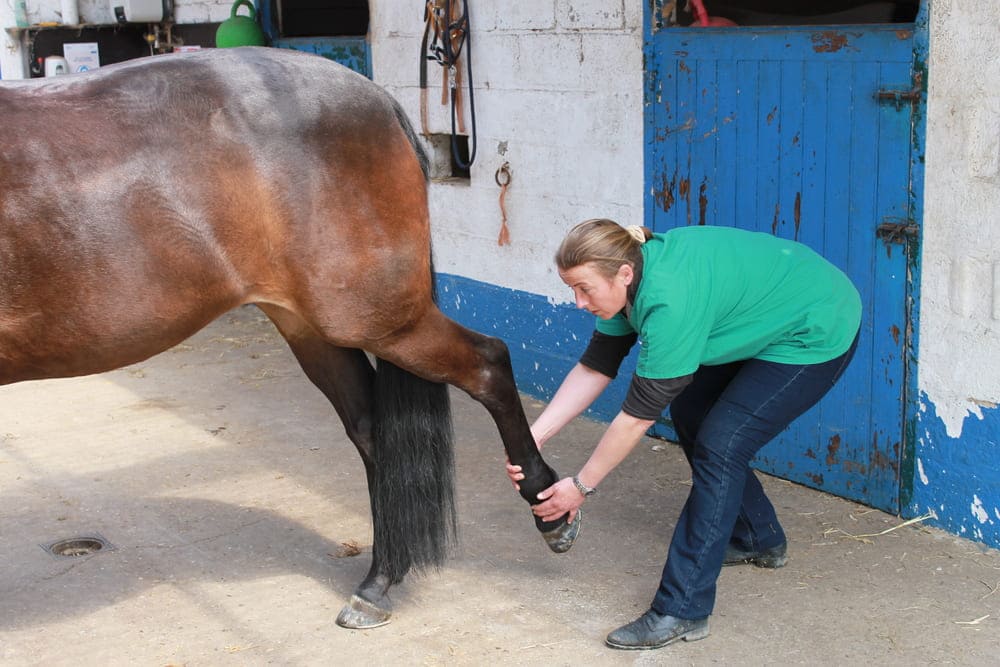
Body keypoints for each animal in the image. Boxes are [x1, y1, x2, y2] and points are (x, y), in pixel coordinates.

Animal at [0, 46, 578, 629]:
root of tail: (381, 101)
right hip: (310, 327)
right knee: (376, 433)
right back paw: (379, 582)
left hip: (376, 319)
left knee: (488, 364)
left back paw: (548, 509)